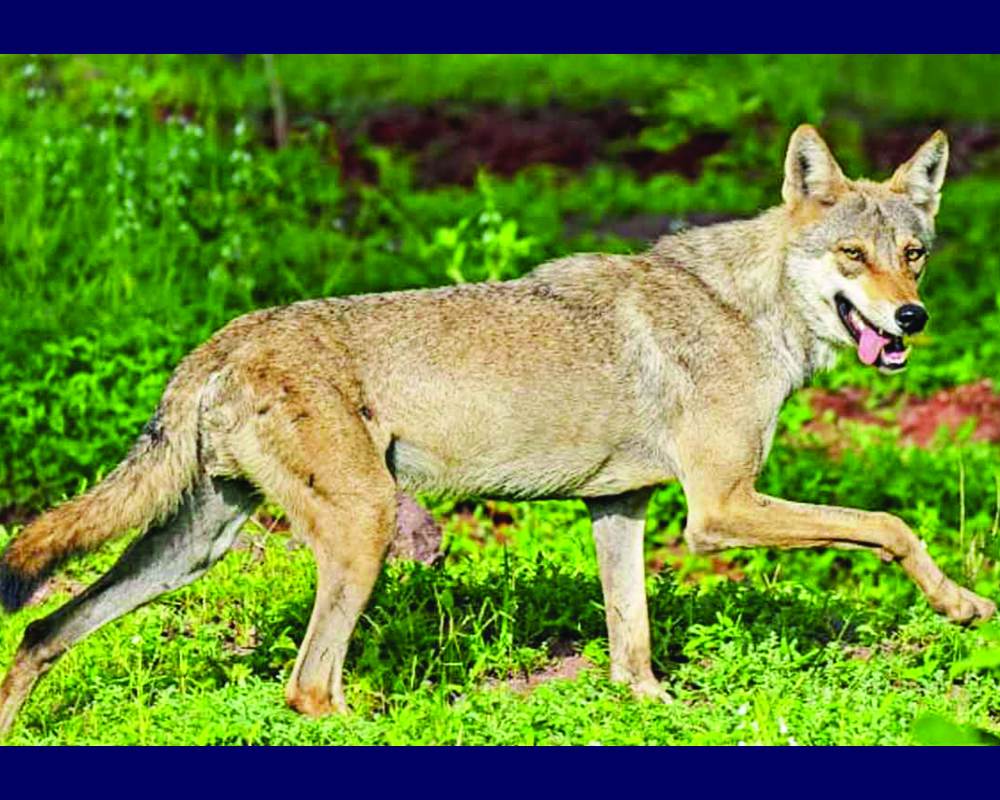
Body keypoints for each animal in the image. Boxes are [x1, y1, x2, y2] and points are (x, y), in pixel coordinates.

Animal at [0, 125, 994, 735]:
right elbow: (890, 525)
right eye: (852, 256)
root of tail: (222, 339)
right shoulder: (718, 510)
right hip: (361, 530)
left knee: (41, 630)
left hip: (191, 551)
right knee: (309, 691)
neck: (747, 311)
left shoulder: (622, 510)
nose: (911, 318)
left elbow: (632, 648)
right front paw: (963, 605)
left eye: (914, 254)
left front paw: (654, 710)